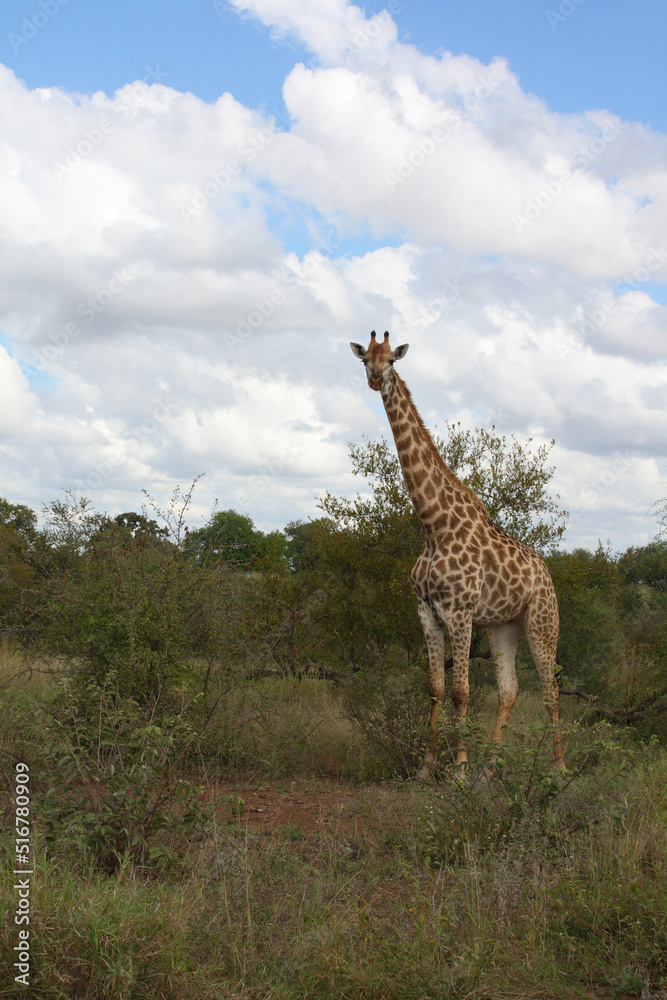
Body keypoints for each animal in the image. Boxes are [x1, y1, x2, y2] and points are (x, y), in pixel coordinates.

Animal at [350, 331, 565, 779]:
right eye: (364, 360)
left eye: (391, 360)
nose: (376, 379)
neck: (433, 526)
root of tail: (547, 573)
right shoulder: (426, 612)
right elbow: (435, 688)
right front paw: (427, 767)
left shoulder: (461, 613)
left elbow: (462, 691)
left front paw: (460, 768)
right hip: (504, 626)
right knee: (510, 689)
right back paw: (491, 769)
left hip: (542, 622)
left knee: (550, 691)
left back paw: (558, 769)